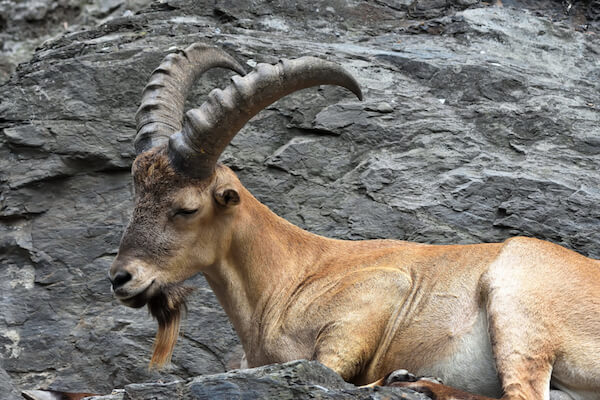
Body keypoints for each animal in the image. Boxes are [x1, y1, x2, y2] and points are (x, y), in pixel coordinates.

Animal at [109, 43, 600, 400]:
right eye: (136, 198)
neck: (291, 277)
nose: (121, 278)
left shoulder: (377, 295)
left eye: (186, 208)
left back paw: (408, 379)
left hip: (516, 301)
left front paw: (391, 375)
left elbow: (330, 367)